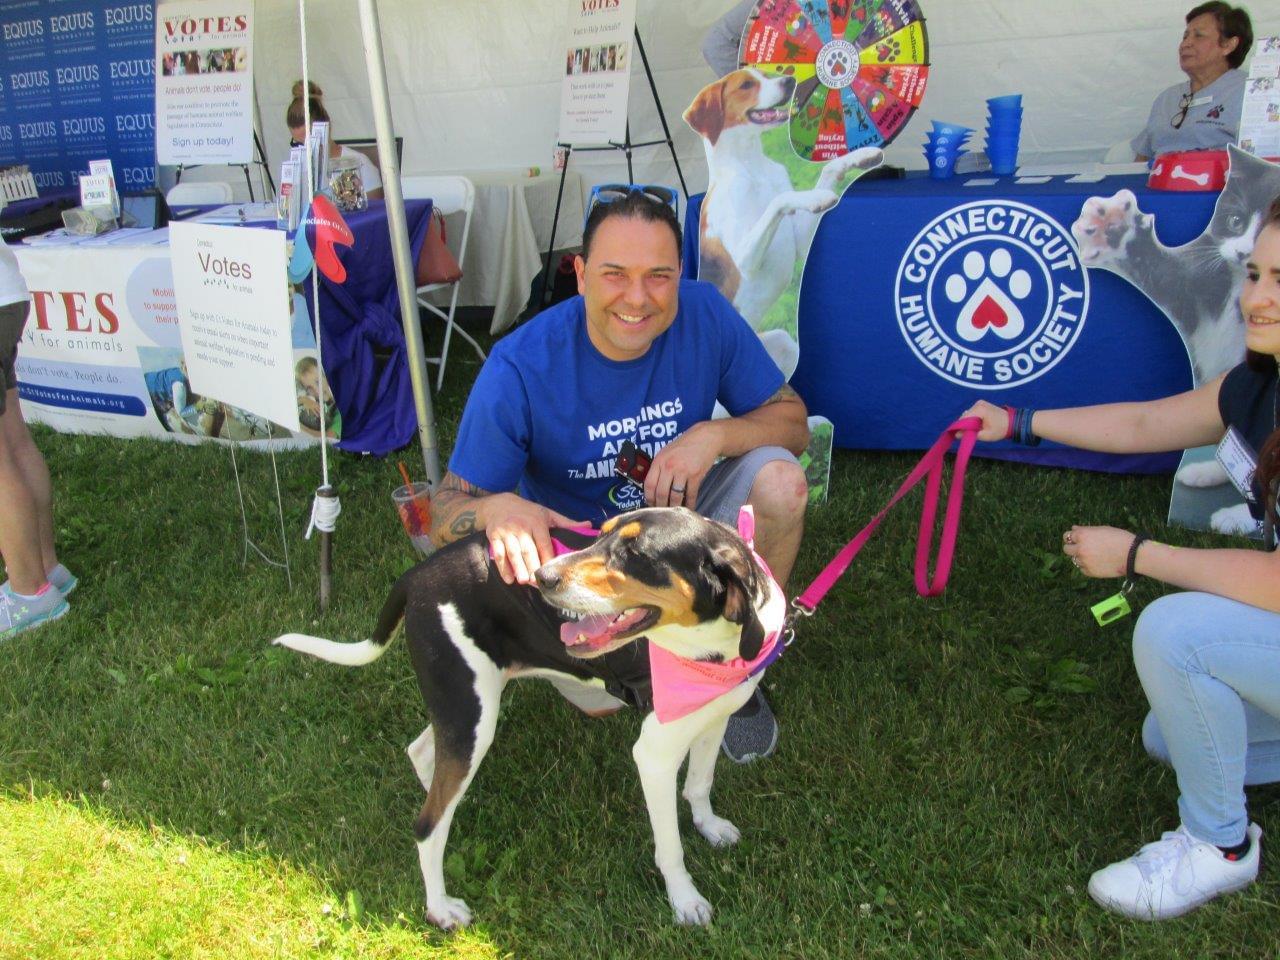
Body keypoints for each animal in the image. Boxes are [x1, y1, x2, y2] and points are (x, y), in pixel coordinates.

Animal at [275, 512, 783, 931]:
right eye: (600, 535)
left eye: (635, 553)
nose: (542, 576)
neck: (711, 649)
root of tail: (416, 576)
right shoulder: (654, 757)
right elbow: (670, 845)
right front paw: (685, 901)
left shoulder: (713, 719)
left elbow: (699, 784)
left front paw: (709, 827)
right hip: (470, 715)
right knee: (426, 825)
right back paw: (440, 908)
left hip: (468, 706)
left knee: (422, 755)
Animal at [686, 67, 885, 373]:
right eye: (746, 85)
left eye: (765, 74)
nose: (790, 81)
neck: (752, 167)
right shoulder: (744, 259)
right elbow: (780, 201)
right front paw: (815, 197)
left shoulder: (799, 242)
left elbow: (828, 168)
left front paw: (862, 156)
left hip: (785, 346)